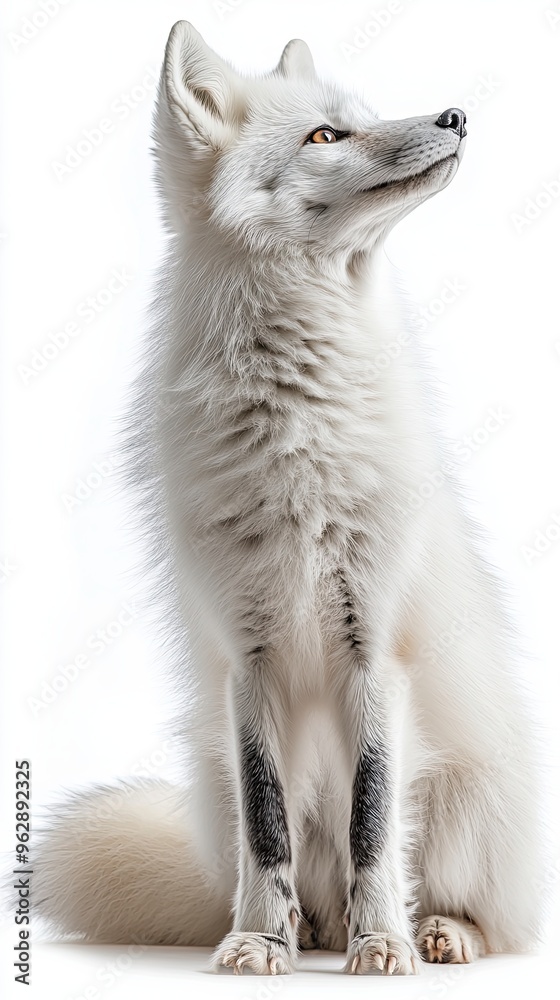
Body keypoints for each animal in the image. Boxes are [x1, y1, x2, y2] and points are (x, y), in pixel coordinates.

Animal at [34, 21, 544, 976]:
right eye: (325, 136)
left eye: (361, 116)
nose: (455, 115)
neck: (296, 430)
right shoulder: (250, 658)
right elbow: (266, 821)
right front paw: (259, 941)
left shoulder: (374, 648)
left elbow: (374, 820)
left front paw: (382, 946)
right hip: (208, 783)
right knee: (279, 866)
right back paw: (305, 929)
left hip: (468, 804)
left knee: (491, 916)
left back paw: (431, 931)